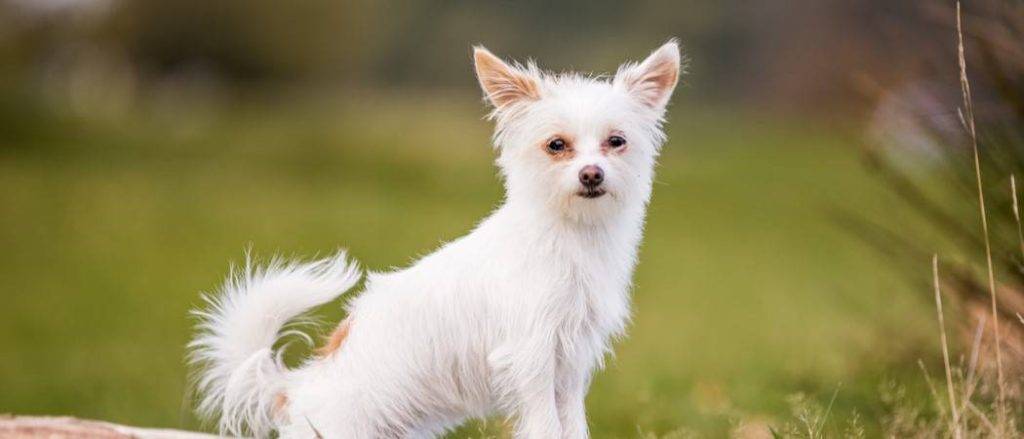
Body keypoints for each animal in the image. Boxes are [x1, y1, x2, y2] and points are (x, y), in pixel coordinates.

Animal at [191, 41, 679, 437]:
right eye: (556, 146)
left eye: (616, 142)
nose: (591, 174)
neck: (570, 235)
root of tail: (293, 390)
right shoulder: (530, 357)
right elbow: (545, 426)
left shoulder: (570, 365)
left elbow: (571, 424)